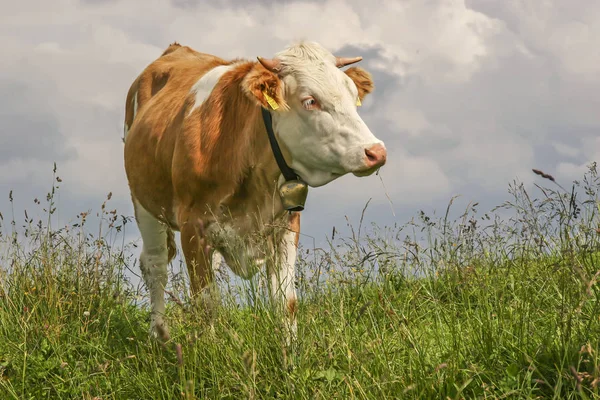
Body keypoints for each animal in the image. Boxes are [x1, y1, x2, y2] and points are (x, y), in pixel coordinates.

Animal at [122, 39, 390, 340]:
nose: (375, 151)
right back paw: (159, 335)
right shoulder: (193, 227)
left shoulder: (285, 226)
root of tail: (177, 48)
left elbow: (286, 301)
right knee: (155, 265)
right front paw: (209, 350)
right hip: (145, 203)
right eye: (310, 100)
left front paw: (290, 350)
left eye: (353, 96)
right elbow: (206, 303)